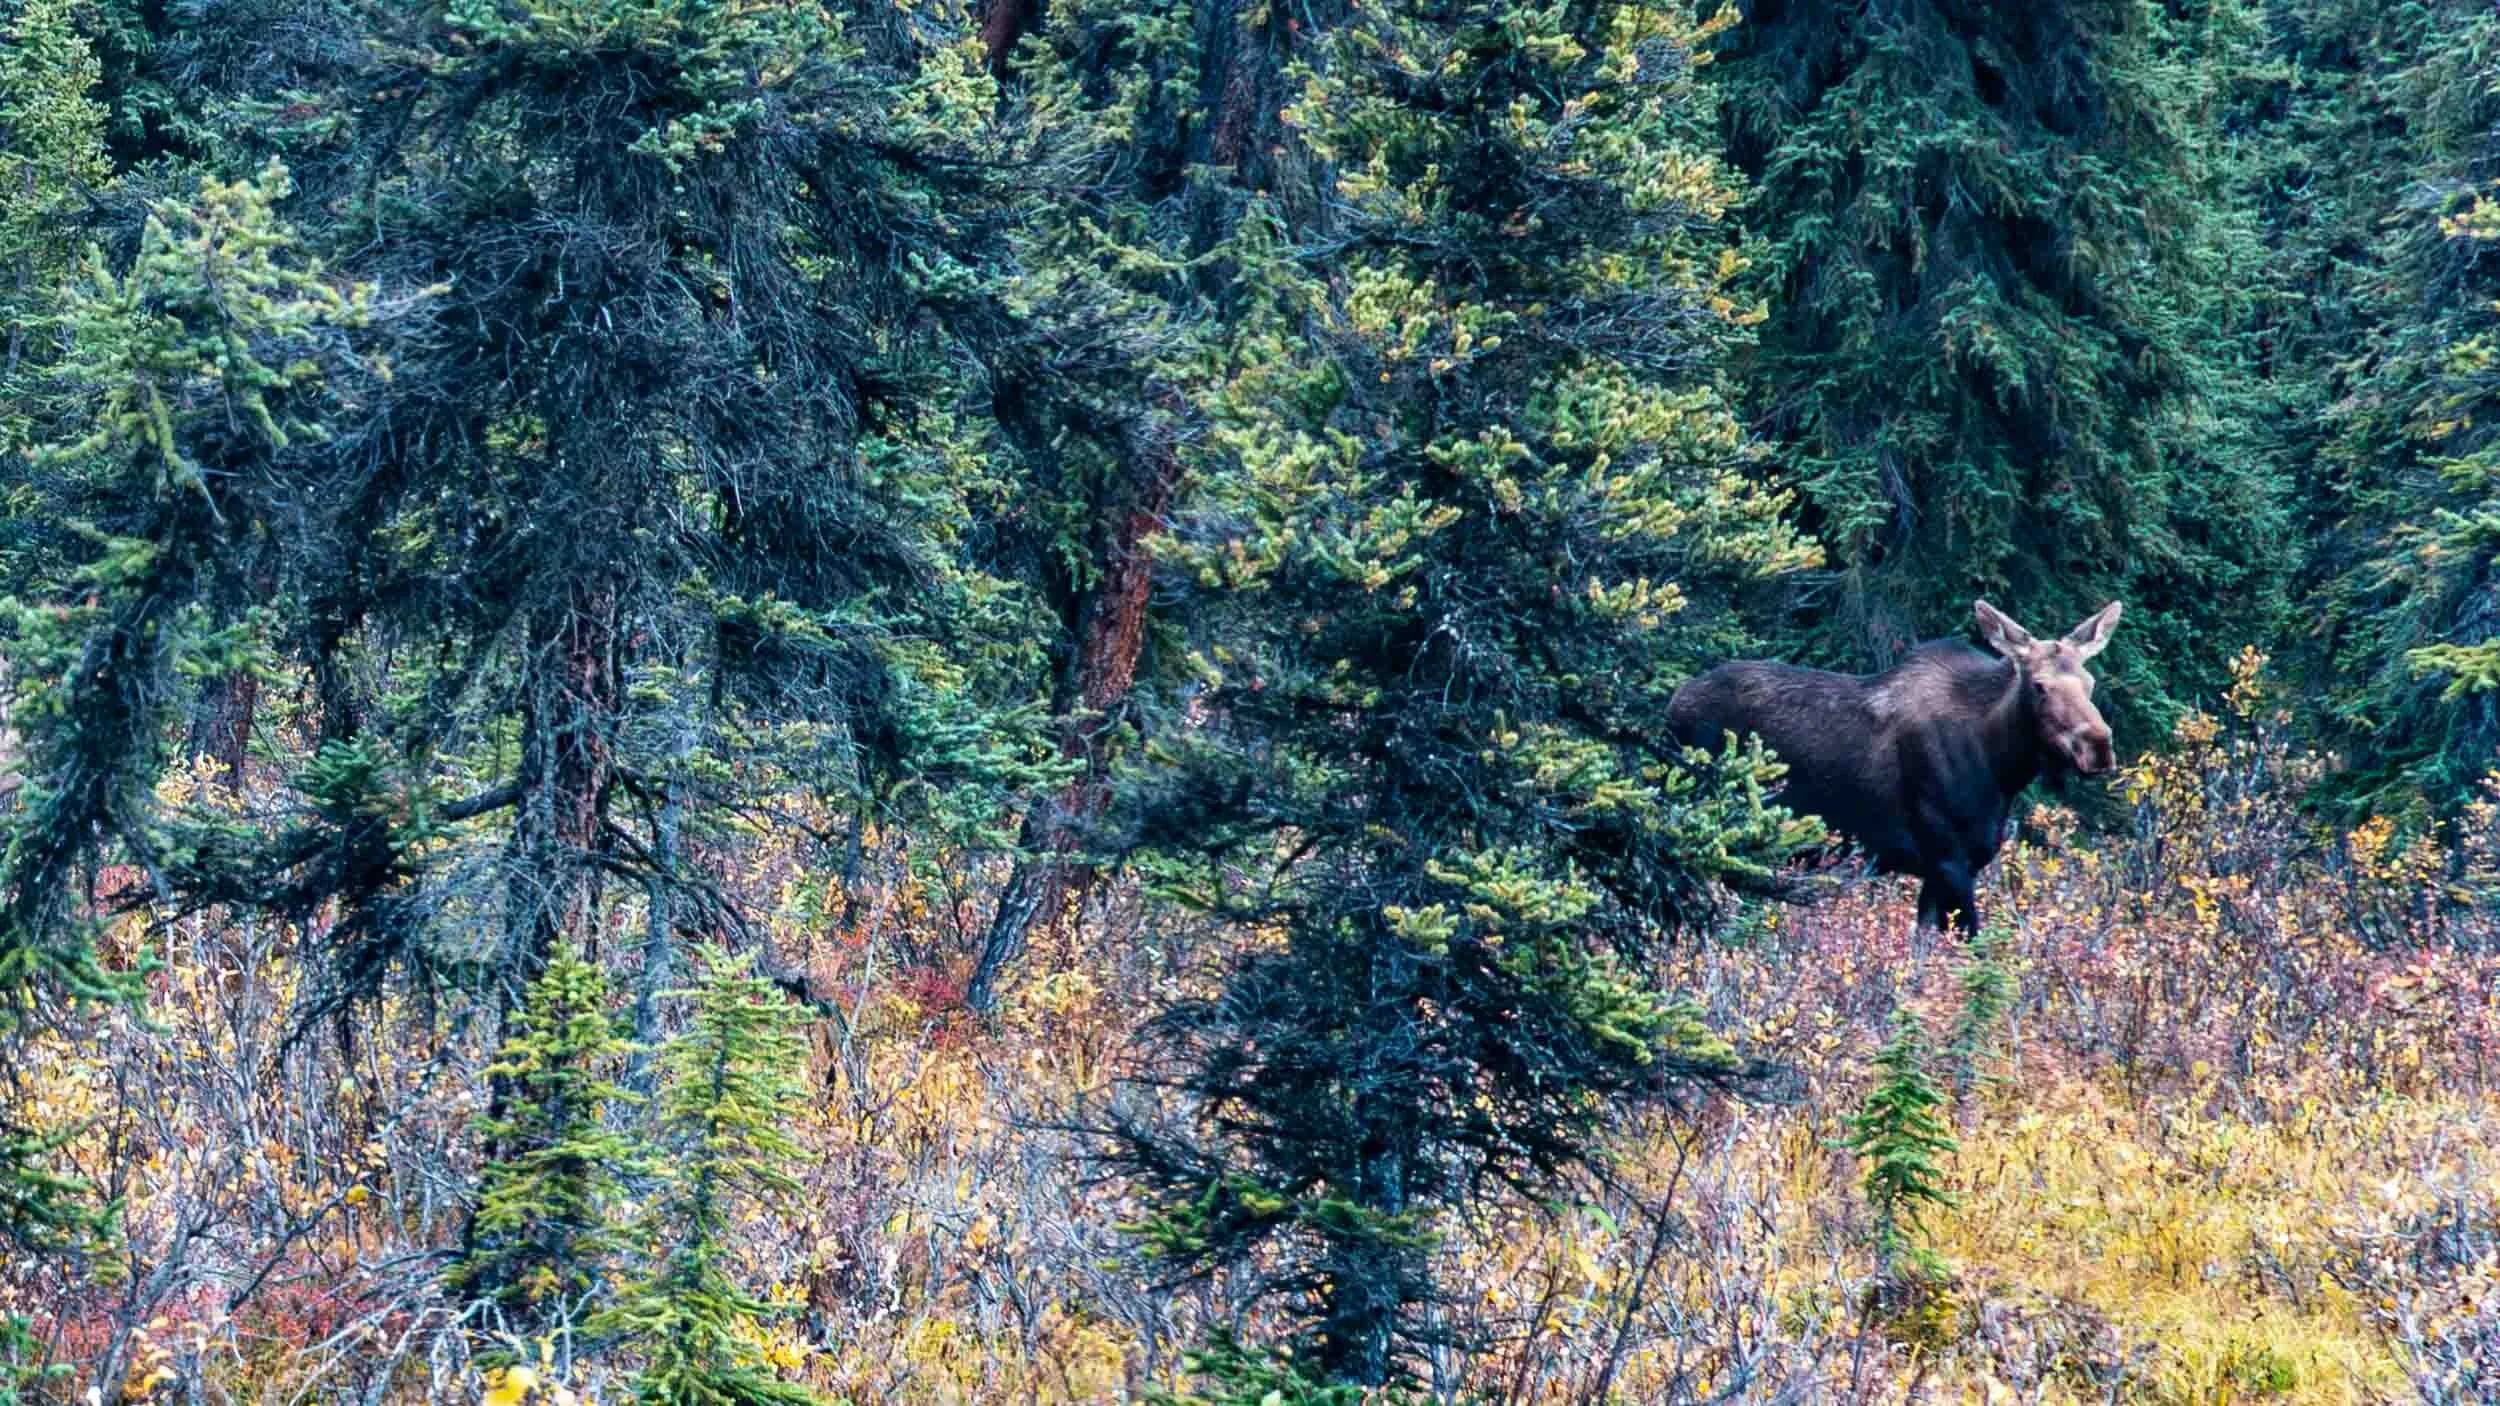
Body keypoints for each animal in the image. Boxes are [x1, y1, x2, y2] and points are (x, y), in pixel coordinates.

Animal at [1666, 600, 2123, 933]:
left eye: (2090, 683)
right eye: (2040, 686)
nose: (2098, 747)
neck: (2000, 768)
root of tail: (1669, 709)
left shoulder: (1945, 870)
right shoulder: (1948, 858)